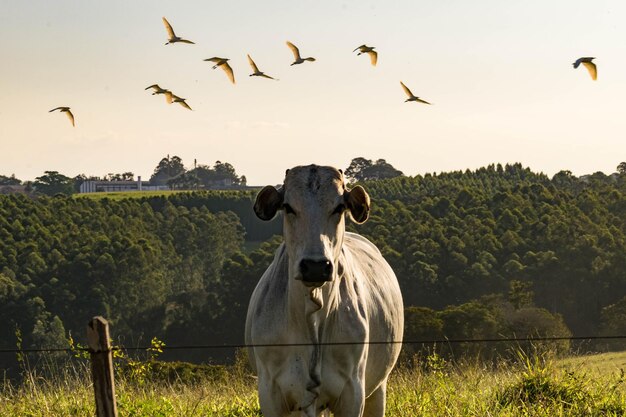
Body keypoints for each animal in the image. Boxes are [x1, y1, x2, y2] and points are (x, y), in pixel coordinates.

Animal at [241, 166, 402, 416]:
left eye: (339, 207)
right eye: (288, 207)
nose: (315, 266)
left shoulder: (353, 391)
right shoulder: (270, 392)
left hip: (378, 389)